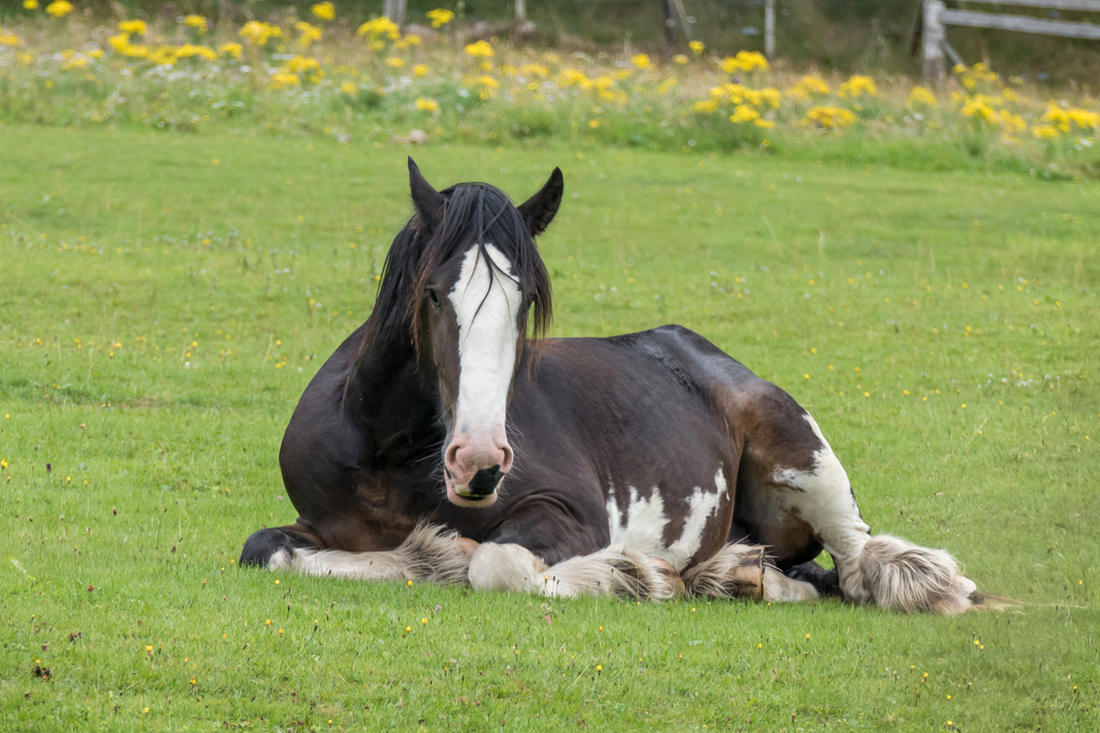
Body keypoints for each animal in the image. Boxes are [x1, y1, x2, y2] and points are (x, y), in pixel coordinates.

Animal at [239, 159, 977, 614]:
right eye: (433, 293)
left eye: (525, 302)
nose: (479, 462)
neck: (386, 453)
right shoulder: (312, 526)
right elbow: (266, 550)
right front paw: (426, 554)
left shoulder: (570, 514)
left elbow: (494, 565)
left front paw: (628, 574)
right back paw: (735, 576)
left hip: (810, 467)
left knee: (858, 562)